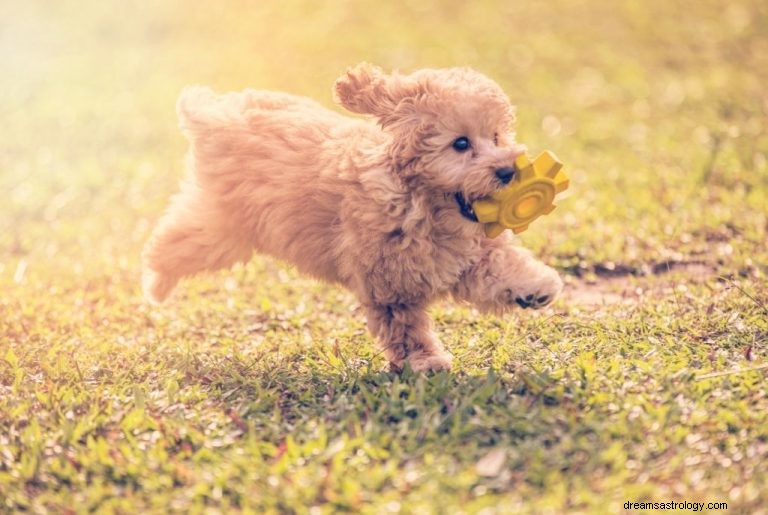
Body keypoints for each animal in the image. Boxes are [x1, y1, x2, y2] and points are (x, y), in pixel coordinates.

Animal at [142, 63, 564, 370]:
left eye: (496, 137)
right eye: (461, 144)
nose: (508, 171)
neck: (421, 204)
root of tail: (214, 114)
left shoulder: (465, 254)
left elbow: (498, 266)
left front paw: (536, 286)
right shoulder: (390, 284)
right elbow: (406, 327)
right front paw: (425, 362)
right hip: (222, 229)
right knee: (172, 243)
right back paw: (155, 284)